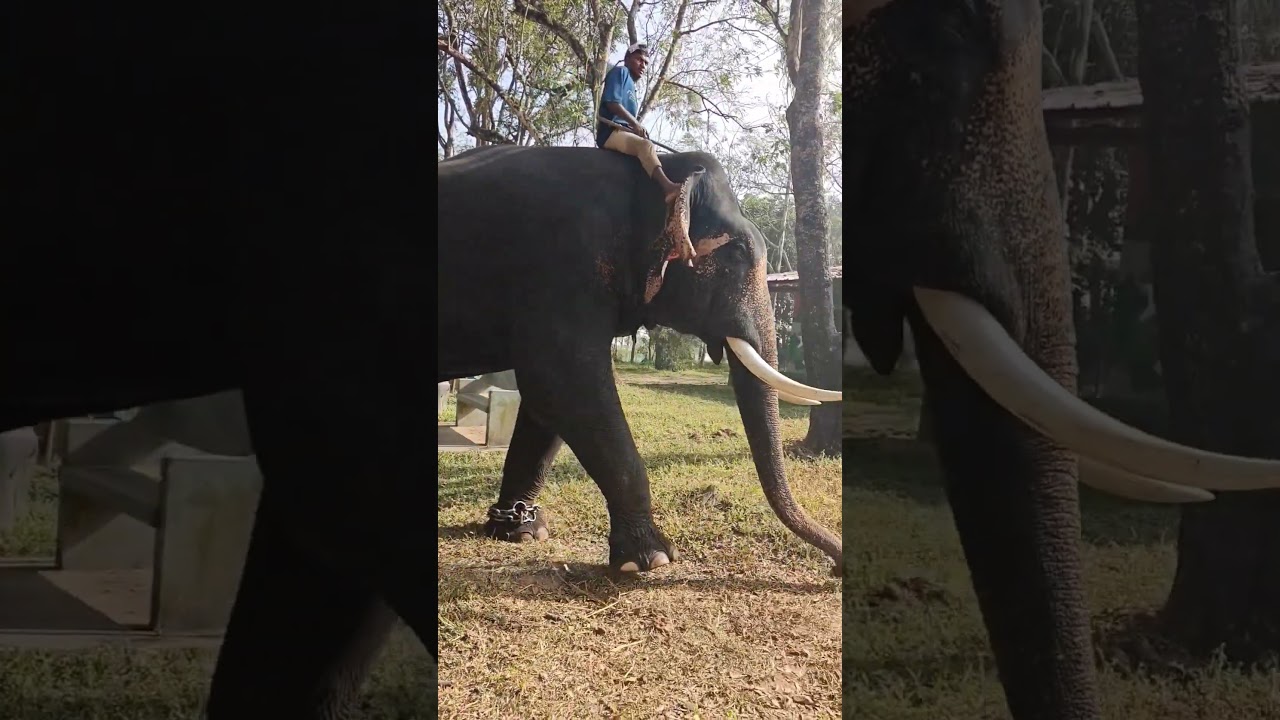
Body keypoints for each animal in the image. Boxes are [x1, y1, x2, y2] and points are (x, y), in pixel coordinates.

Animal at [437, 145, 842, 574]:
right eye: (735, 253)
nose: (836, 565)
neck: (651, 169)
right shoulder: (563, 268)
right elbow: (562, 384)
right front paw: (650, 560)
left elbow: (544, 401)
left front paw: (523, 532)